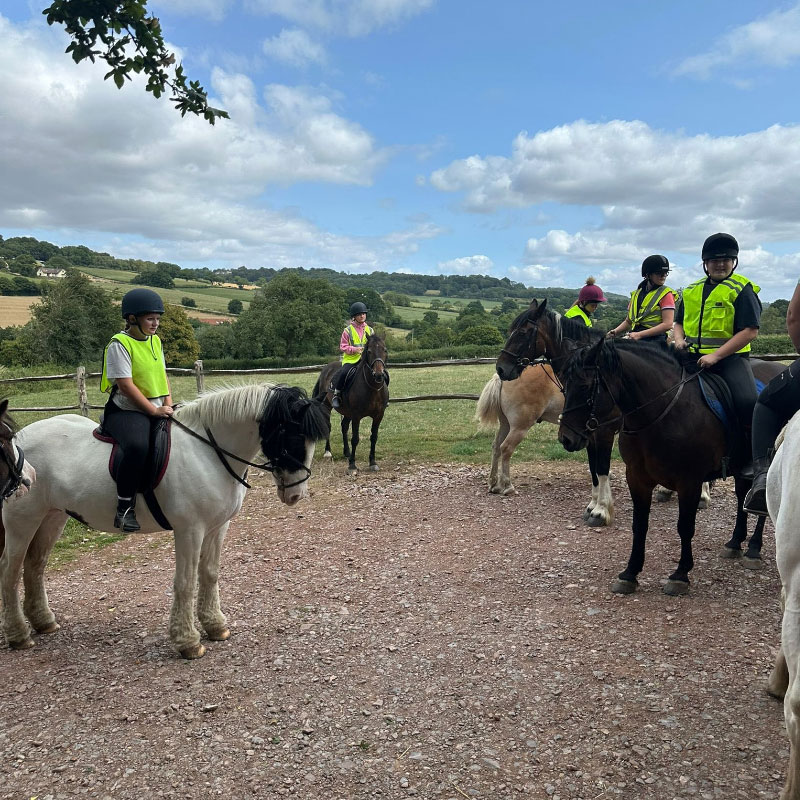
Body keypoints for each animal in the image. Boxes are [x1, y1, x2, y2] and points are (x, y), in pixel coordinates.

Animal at [0, 384, 330, 659]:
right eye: (293, 437)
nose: (295, 494)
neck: (208, 452)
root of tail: (20, 444)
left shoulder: (217, 527)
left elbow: (210, 574)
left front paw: (215, 626)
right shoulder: (190, 530)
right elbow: (185, 582)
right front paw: (188, 642)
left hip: (52, 517)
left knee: (35, 565)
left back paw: (44, 622)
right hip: (22, 522)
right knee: (10, 571)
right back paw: (18, 635)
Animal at [313, 333, 389, 473]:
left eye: (384, 350)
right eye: (369, 351)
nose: (379, 375)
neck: (372, 388)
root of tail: (326, 368)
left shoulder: (378, 415)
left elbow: (374, 437)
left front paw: (372, 462)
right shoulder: (357, 416)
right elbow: (355, 439)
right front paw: (352, 465)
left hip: (347, 412)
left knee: (344, 426)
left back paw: (346, 452)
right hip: (327, 406)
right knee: (328, 426)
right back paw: (328, 452)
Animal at [557, 337, 779, 595]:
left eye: (584, 387)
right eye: (564, 385)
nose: (566, 439)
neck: (664, 413)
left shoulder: (689, 482)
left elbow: (685, 527)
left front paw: (680, 574)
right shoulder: (637, 478)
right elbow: (639, 525)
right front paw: (630, 573)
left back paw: (753, 548)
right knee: (743, 495)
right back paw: (735, 543)